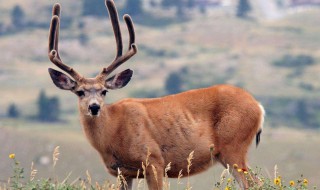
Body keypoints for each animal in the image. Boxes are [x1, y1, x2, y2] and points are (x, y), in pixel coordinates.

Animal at [47, 0, 264, 189]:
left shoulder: (154, 160)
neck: (114, 131)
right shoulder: (123, 172)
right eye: (79, 92)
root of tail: (258, 107)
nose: (94, 107)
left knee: (253, 183)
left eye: (104, 91)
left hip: (233, 145)